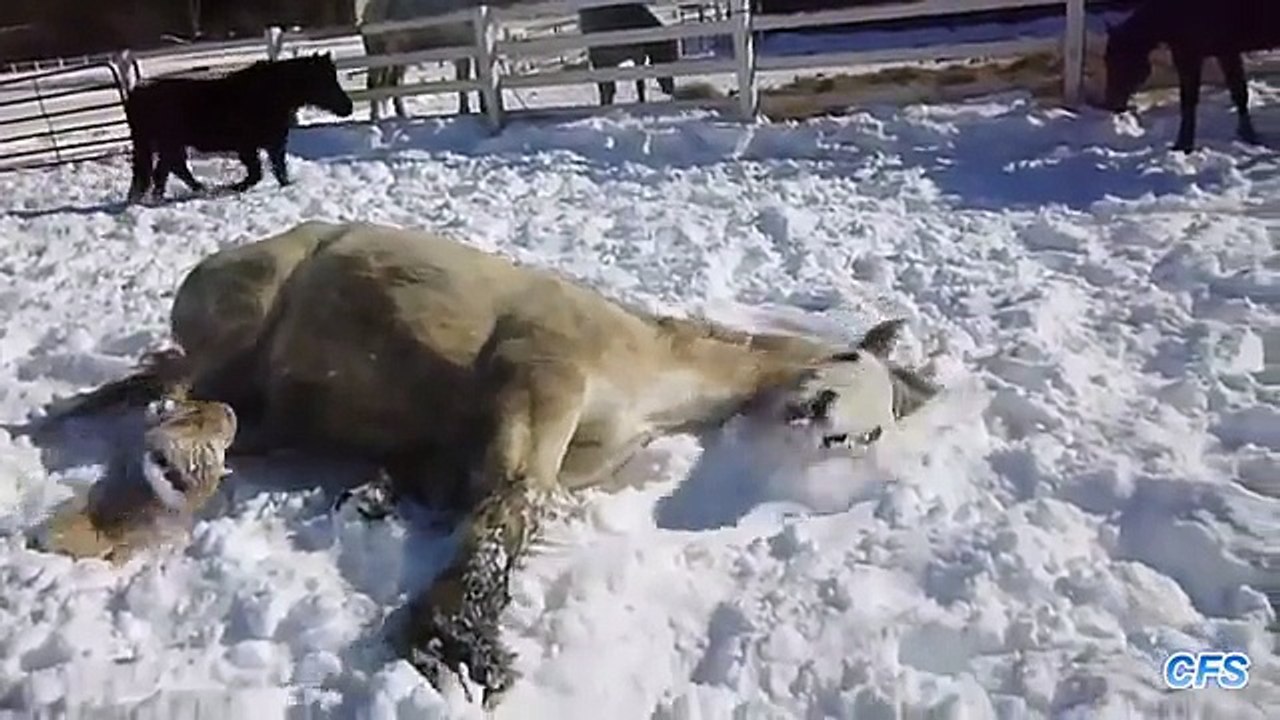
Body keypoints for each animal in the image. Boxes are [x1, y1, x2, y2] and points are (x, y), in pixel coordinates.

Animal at [123, 53, 354, 203]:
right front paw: (234, 187)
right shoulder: (248, 147)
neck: (271, 95)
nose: (348, 107)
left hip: (170, 145)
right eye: (324, 80)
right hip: (169, 144)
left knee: (169, 170)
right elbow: (256, 174)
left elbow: (280, 172)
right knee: (167, 171)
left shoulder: (274, 145)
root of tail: (136, 95)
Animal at [1099, 0, 1280, 151]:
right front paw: (1248, 136)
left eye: (1120, 62)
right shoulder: (1226, 53)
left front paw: (1183, 145)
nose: (1111, 103)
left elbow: (1189, 101)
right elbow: (1238, 92)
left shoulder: (1191, 57)